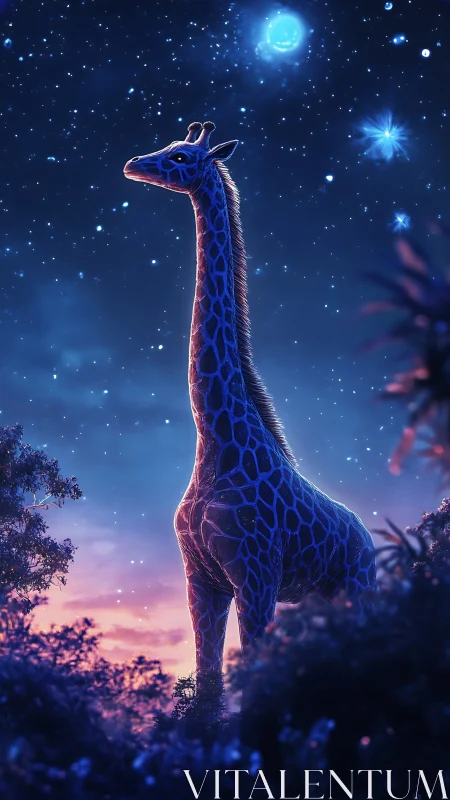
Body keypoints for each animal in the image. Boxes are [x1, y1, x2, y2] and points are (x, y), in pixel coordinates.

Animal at [124, 121, 376, 678]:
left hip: (357, 586)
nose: (134, 164)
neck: (216, 440)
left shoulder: (255, 579)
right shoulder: (202, 581)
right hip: (320, 597)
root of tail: (369, 538)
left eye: (180, 156)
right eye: (167, 144)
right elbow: (209, 682)